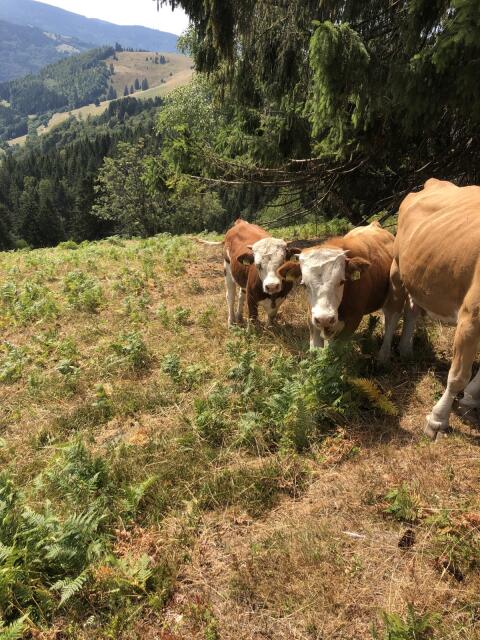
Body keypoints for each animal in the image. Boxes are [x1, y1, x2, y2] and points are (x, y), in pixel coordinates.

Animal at [378, 178, 480, 440]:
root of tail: (434, 182)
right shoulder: (471, 317)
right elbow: (457, 376)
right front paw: (437, 420)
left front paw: (470, 400)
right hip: (397, 267)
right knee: (393, 312)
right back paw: (384, 355)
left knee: (413, 310)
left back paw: (406, 349)